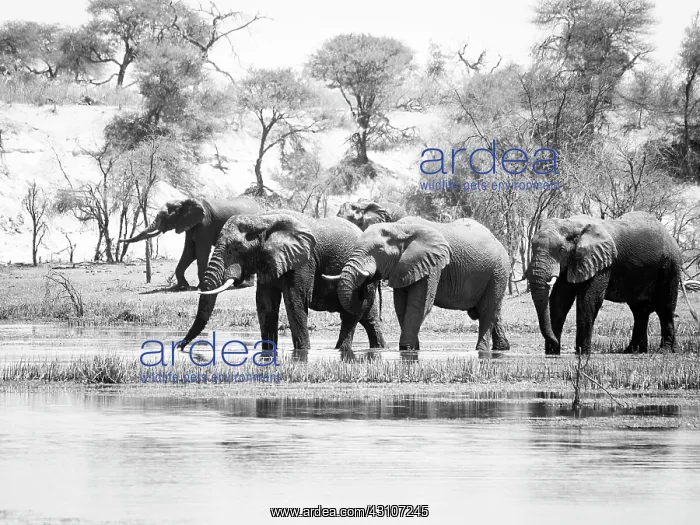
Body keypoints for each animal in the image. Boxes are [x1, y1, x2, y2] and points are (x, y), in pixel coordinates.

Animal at [120, 197, 261, 290]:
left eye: (166, 215)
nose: (119, 239)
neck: (184, 201)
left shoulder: (204, 224)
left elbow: (201, 251)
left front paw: (201, 287)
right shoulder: (190, 224)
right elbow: (190, 252)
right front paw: (183, 287)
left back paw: (243, 286)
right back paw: (243, 285)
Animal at [177, 210, 386, 353]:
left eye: (236, 248)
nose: (179, 347)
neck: (262, 220)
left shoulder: (304, 260)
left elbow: (295, 300)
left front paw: (303, 352)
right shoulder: (267, 260)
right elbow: (265, 303)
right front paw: (268, 353)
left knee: (352, 314)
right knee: (369, 319)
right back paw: (379, 349)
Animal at [325, 216, 511, 353]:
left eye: (379, 251)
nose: (363, 288)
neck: (399, 228)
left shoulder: (432, 265)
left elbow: (419, 304)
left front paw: (406, 349)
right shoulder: (402, 266)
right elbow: (401, 306)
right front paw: (414, 348)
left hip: (498, 271)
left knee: (487, 310)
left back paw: (482, 350)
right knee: (492, 311)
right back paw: (502, 348)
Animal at [527, 211, 698, 355]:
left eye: (561, 249)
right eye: (532, 246)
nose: (556, 344)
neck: (572, 224)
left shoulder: (602, 262)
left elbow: (589, 300)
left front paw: (582, 353)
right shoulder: (572, 262)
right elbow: (559, 299)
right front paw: (552, 353)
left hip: (670, 266)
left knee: (665, 307)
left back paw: (666, 351)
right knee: (640, 310)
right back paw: (634, 351)